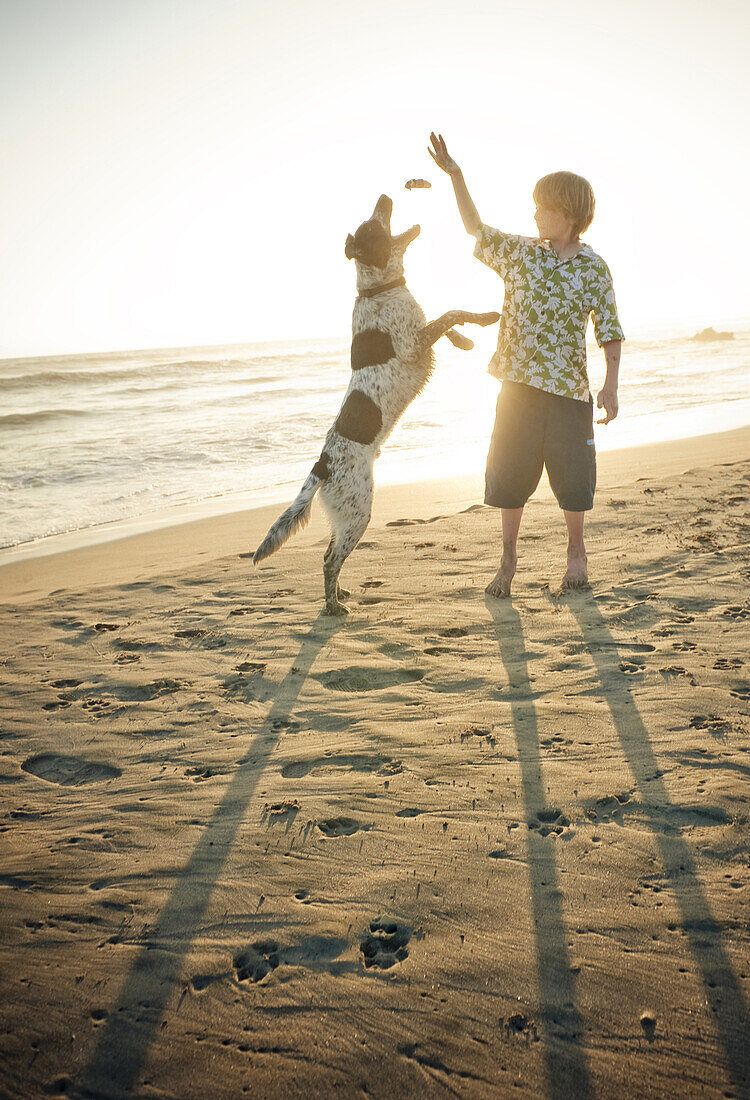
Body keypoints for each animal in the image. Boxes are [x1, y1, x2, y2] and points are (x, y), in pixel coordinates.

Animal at [249, 193, 497, 616]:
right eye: (371, 226)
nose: (385, 196)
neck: (379, 289)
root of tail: (322, 465)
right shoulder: (414, 343)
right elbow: (451, 312)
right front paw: (485, 318)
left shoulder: (421, 335)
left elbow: (446, 322)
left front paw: (465, 340)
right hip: (358, 510)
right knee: (330, 560)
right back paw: (333, 606)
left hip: (347, 514)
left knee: (328, 553)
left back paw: (342, 593)